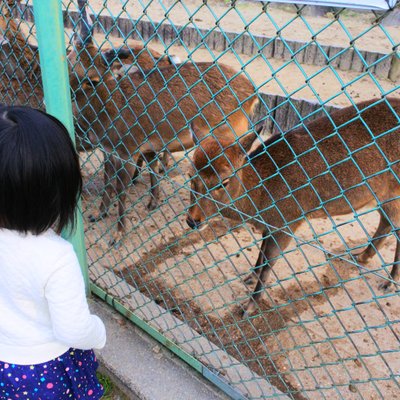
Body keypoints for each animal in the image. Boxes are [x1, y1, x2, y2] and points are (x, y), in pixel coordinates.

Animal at [69, 0, 258, 241]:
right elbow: (108, 181)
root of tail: (253, 93)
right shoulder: (112, 150)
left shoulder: (129, 148)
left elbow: (122, 189)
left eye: (92, 79)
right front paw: (98, 214)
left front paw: (118, 235)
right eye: (69, 58)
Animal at [188, 97, 400, 316]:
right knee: (385, 223)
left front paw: (249, 306)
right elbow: (261, 252)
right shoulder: (271, 224)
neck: (261, 201)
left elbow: (269, 263)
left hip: (394, 193)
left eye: (224, 181)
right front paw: (250, 276)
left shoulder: (288, 221)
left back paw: (389, 281)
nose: (193, 220)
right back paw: (361, 256)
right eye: (190, 175)